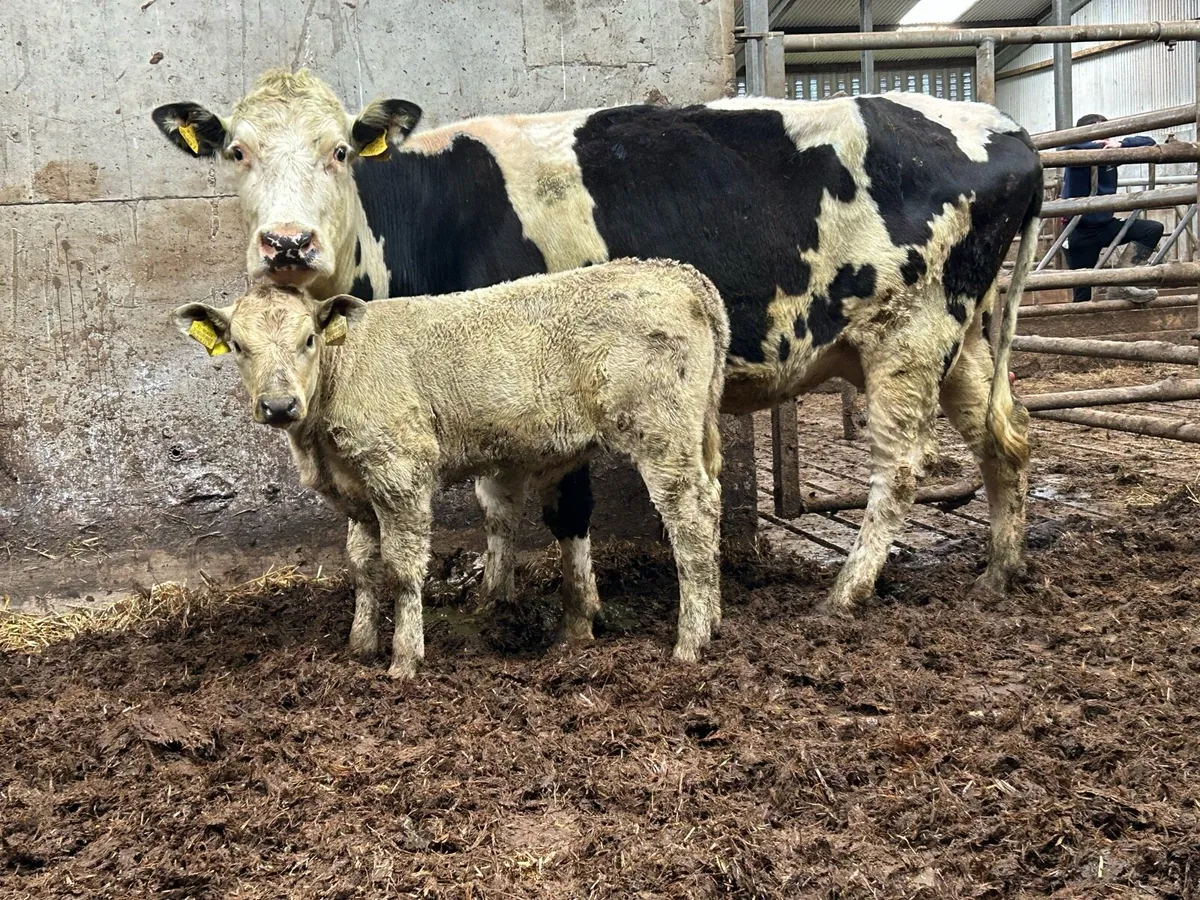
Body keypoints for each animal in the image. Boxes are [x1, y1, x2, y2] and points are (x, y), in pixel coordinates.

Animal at [153, 69, 1041, 624]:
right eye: (237, 150)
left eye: (339, 150)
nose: (287, 243)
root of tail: (1007, 129)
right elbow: (496, 501)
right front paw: (495, 595)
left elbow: (562, 504)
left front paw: (582, 613)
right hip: (964, 341)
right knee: (1008, 439)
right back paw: (1000, 571)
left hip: (909, 336)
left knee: (899, 468)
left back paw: (848, 594)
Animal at [172, 259, 728, 677]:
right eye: (238, 346)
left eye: (309, 339)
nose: (279, 405)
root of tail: (677, 274)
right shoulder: (355, 490)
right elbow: (362, 565)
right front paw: (360, 644)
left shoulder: (399, 470)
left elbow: (401, 567)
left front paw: (404, 658)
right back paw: (712, 620)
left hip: (661, 432)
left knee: (692, 519)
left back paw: (691, 641)